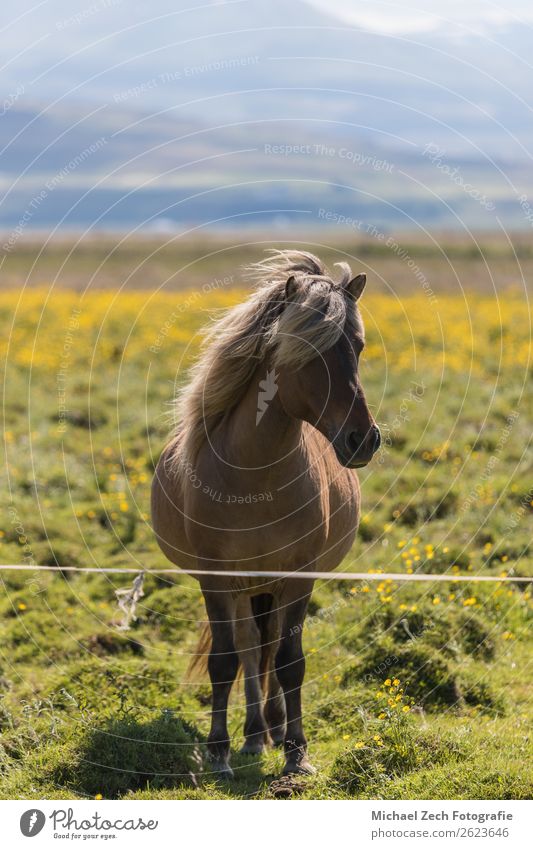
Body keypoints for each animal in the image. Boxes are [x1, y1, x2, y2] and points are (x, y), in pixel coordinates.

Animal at [152, 248, 380, 780]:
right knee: (249, 645)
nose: (364, 439)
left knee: (269, 646)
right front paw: (218, 752)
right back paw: (253, 735)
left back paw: (271, 730)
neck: (254, 477)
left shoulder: (298, 575)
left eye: (358, 347)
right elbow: (225, 661)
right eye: (306, 349)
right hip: (244, 588)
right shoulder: (215, 578)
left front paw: (297, 750)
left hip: (269, 586)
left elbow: (290, 661)